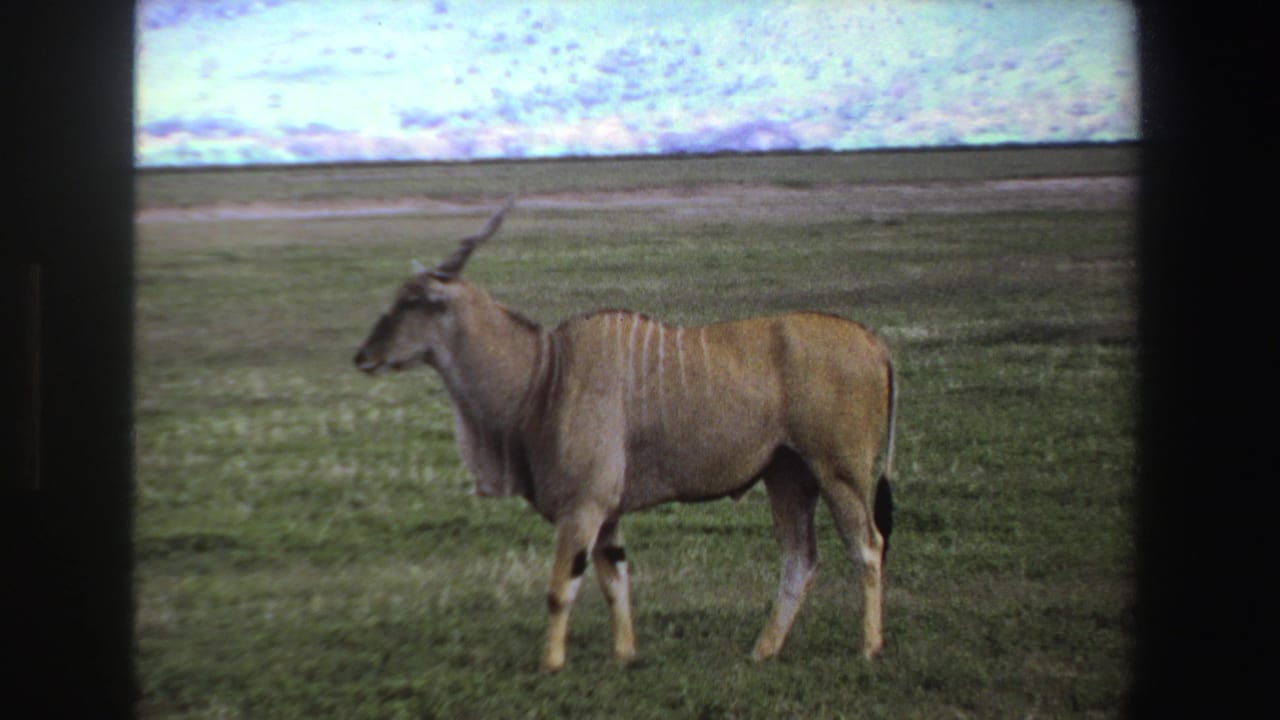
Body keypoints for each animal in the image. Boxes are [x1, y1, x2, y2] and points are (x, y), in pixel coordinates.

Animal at [353, 200, 897, 673]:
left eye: (413, 302)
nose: (363, 355)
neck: (544, 374)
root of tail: (874, 341)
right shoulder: (607, 514)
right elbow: (616, 581)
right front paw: (624, 656)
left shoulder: (583, 507)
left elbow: (561, 589)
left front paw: (551, 664)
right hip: (787, 475)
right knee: (800, 559)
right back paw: (763, 650)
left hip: (838, 472)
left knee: (868, 545)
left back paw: (868, 648)